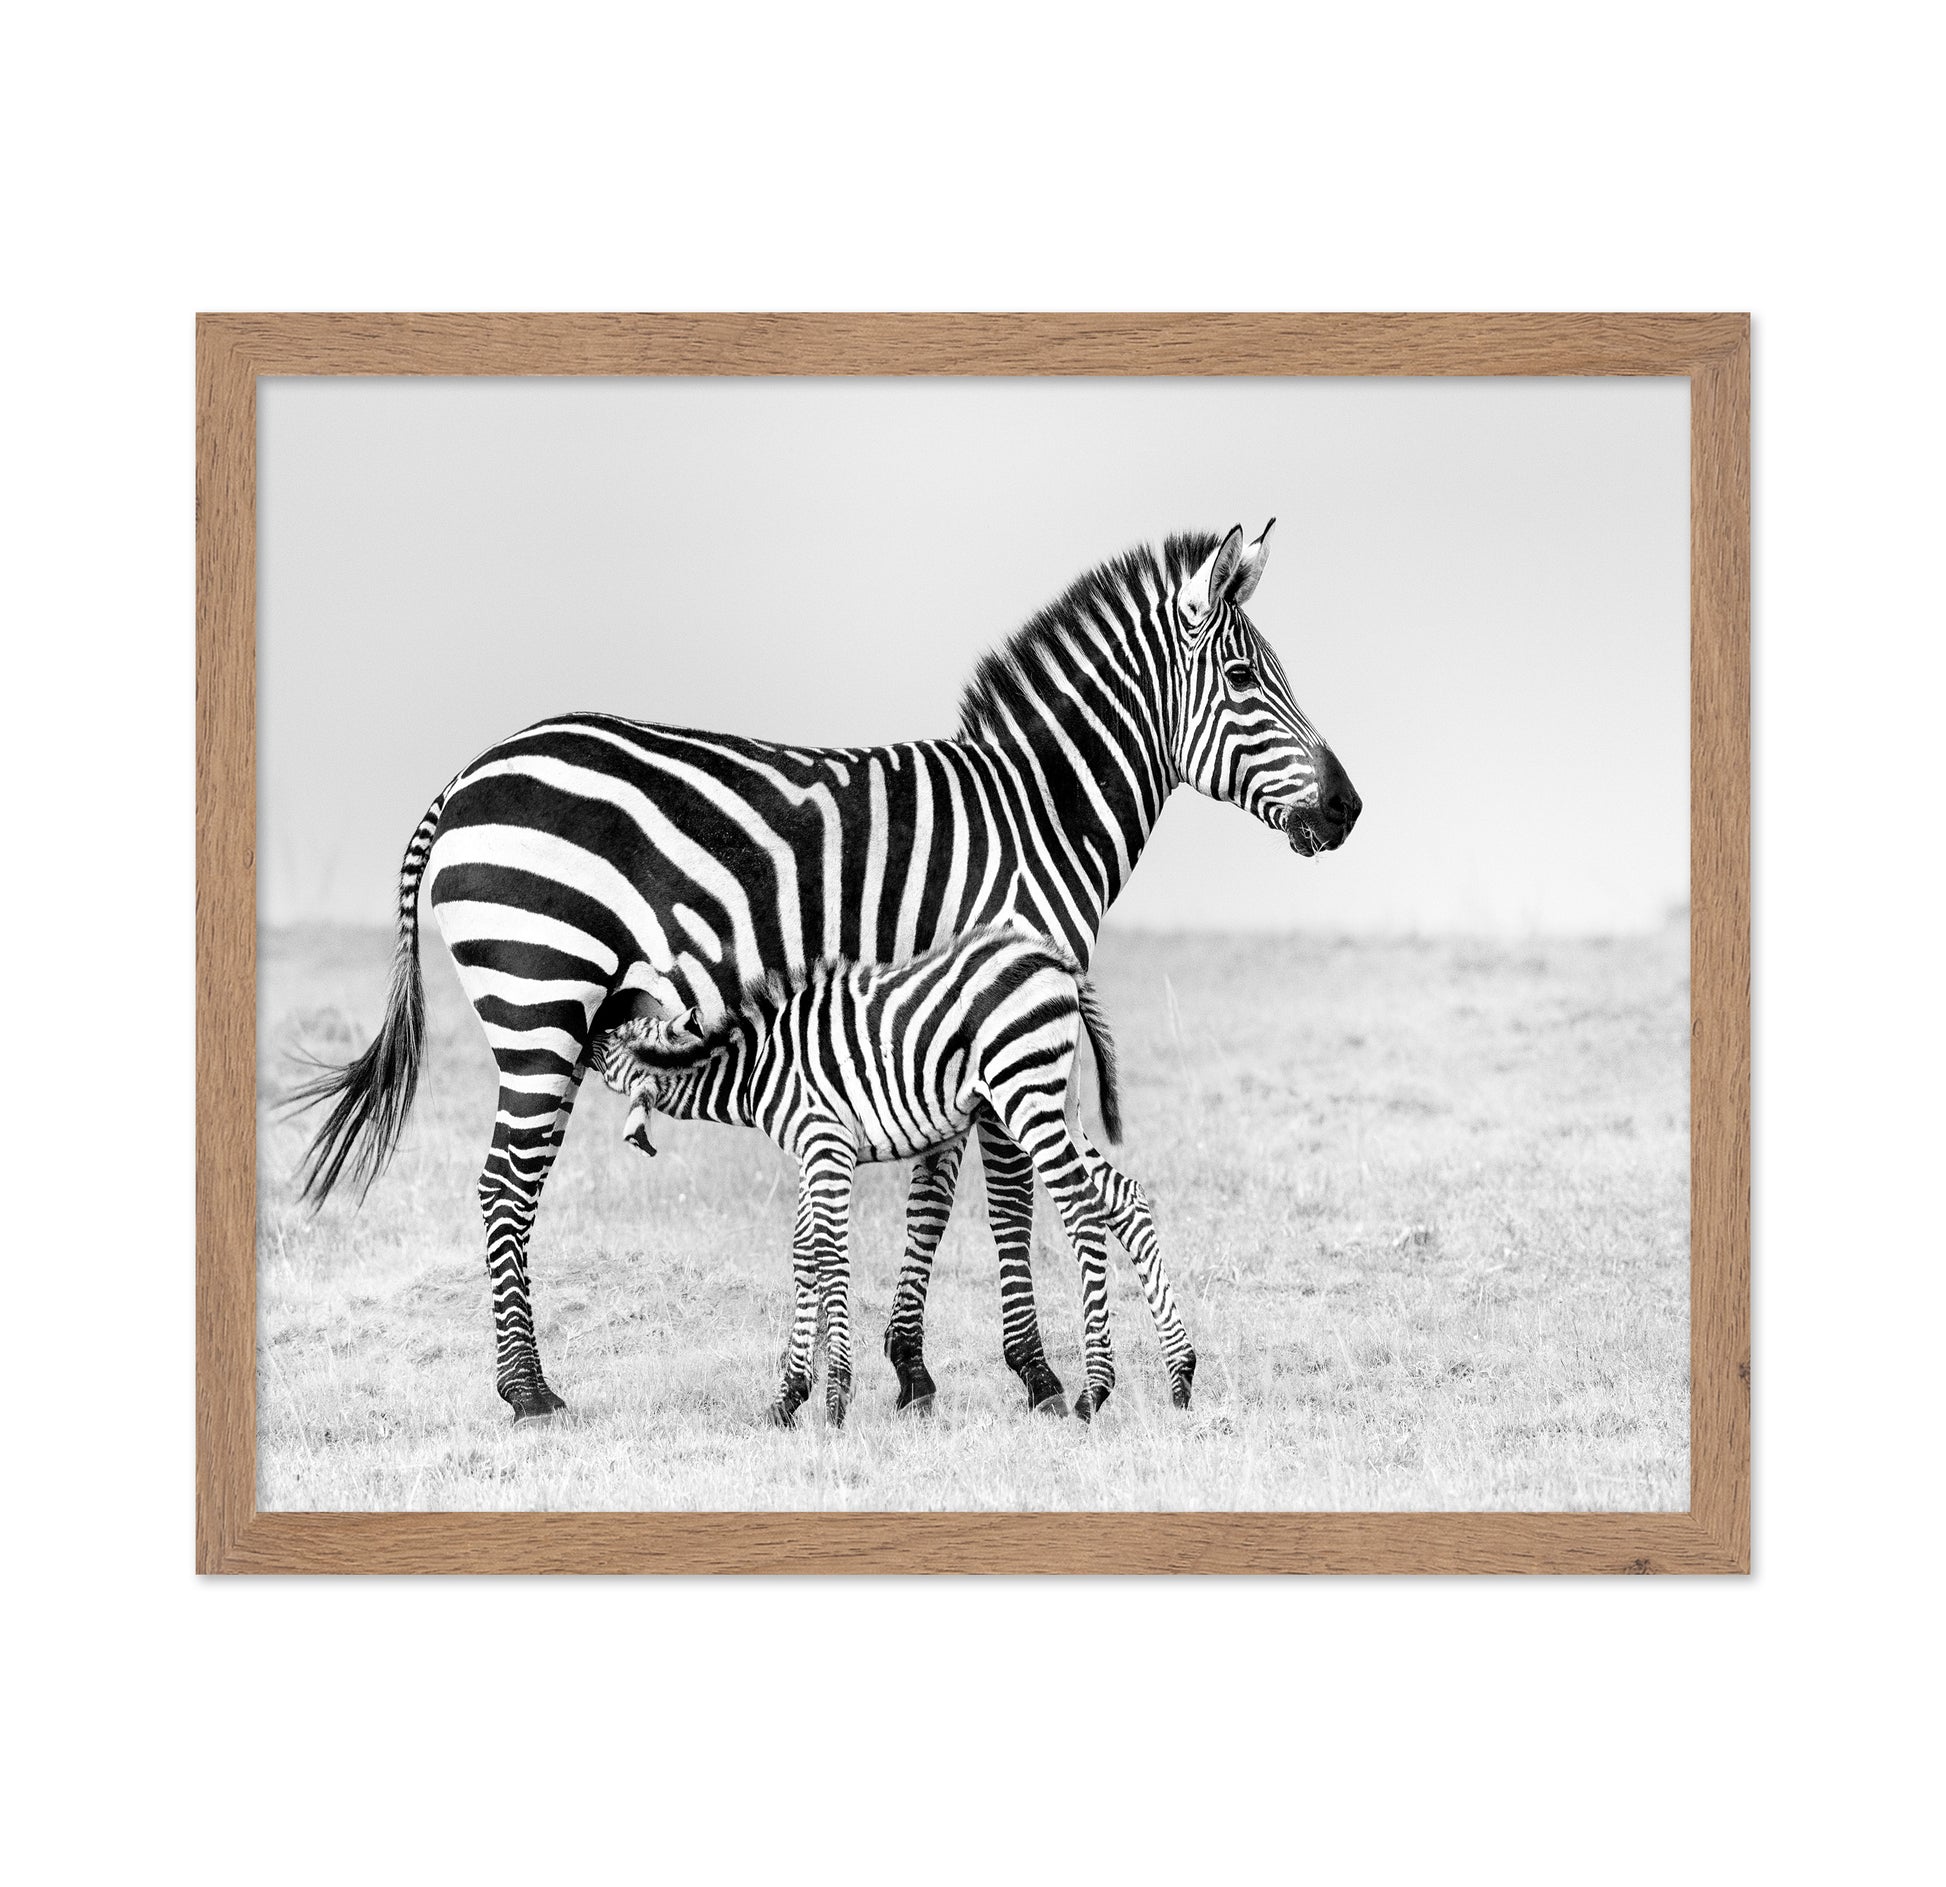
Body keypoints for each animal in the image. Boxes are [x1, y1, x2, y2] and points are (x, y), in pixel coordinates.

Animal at [591, 929, 1194, 1425]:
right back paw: (1181, 1377)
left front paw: (835, 1402)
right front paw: (787, 1399)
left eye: (614, 1037)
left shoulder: (826, 1144)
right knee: (1124, 1198)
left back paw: (1095, 1390)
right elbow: (804, 1254)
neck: (759, 1069)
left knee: (1081, 1208)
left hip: (1025, 1094)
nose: (591, 1021)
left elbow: (829, 1258)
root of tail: (1054, 959)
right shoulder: (815, 1152)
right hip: (1060, 1100)